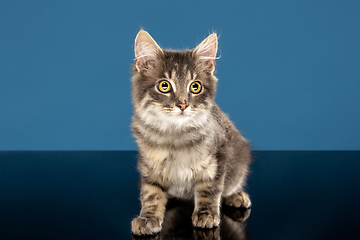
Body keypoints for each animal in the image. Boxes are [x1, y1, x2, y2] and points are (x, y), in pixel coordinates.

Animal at [131, 30, 252, 236]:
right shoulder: (149, 164)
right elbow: (151, 193)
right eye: (164, 86)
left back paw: (237, 196)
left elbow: (209, 188)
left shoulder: (217, 158)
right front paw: (148, 218)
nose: (182, 104)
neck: (174, 136)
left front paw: (206, 214)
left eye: (195, 87)